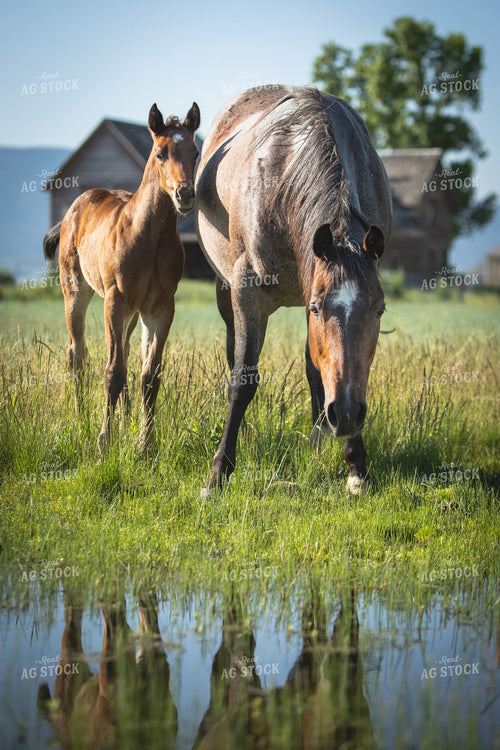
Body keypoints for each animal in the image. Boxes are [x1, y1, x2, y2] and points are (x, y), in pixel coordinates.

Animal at [43, 102, 200, 451]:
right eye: (160, 153)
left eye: (196, 152)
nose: (185, 195)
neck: (150, 236)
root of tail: (76, 206)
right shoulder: (115, 301)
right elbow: (113, 371)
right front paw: (104, 440)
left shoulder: (159, 308)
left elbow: (149, 375)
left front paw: (146, 445)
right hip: (76, 292)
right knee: (77, 354)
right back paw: (81, 420)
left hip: (131, 313)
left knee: (126, 353)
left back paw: (125, 422)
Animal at [194, 85, 392, 494]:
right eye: (318, 308)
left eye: (379, 310)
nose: (345, 413)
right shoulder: (249, 292)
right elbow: (243, 379)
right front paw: (219, 472)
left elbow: (327, 368)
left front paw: (356, 467)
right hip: (225, 290)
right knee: (233, 355)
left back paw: (320, 433)